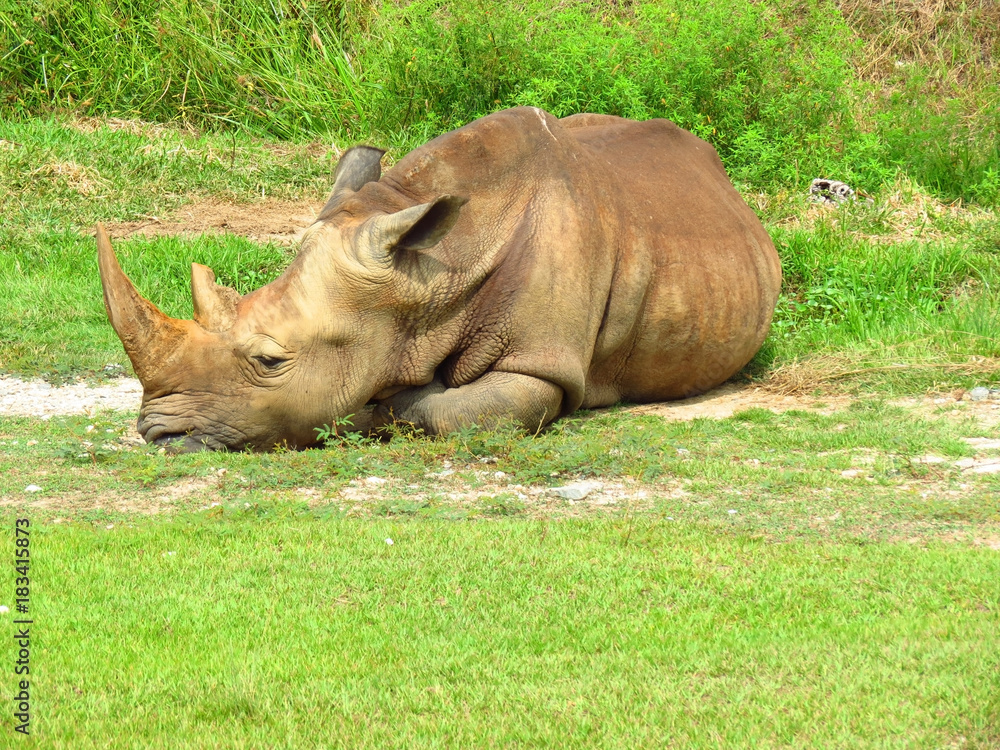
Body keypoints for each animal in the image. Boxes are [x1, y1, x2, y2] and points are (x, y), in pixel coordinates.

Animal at [97, 107, 781, 452]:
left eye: (269, 362)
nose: (159, 435)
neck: (427, 276)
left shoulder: (542, 367)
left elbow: (455, 412)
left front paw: (384, 405)